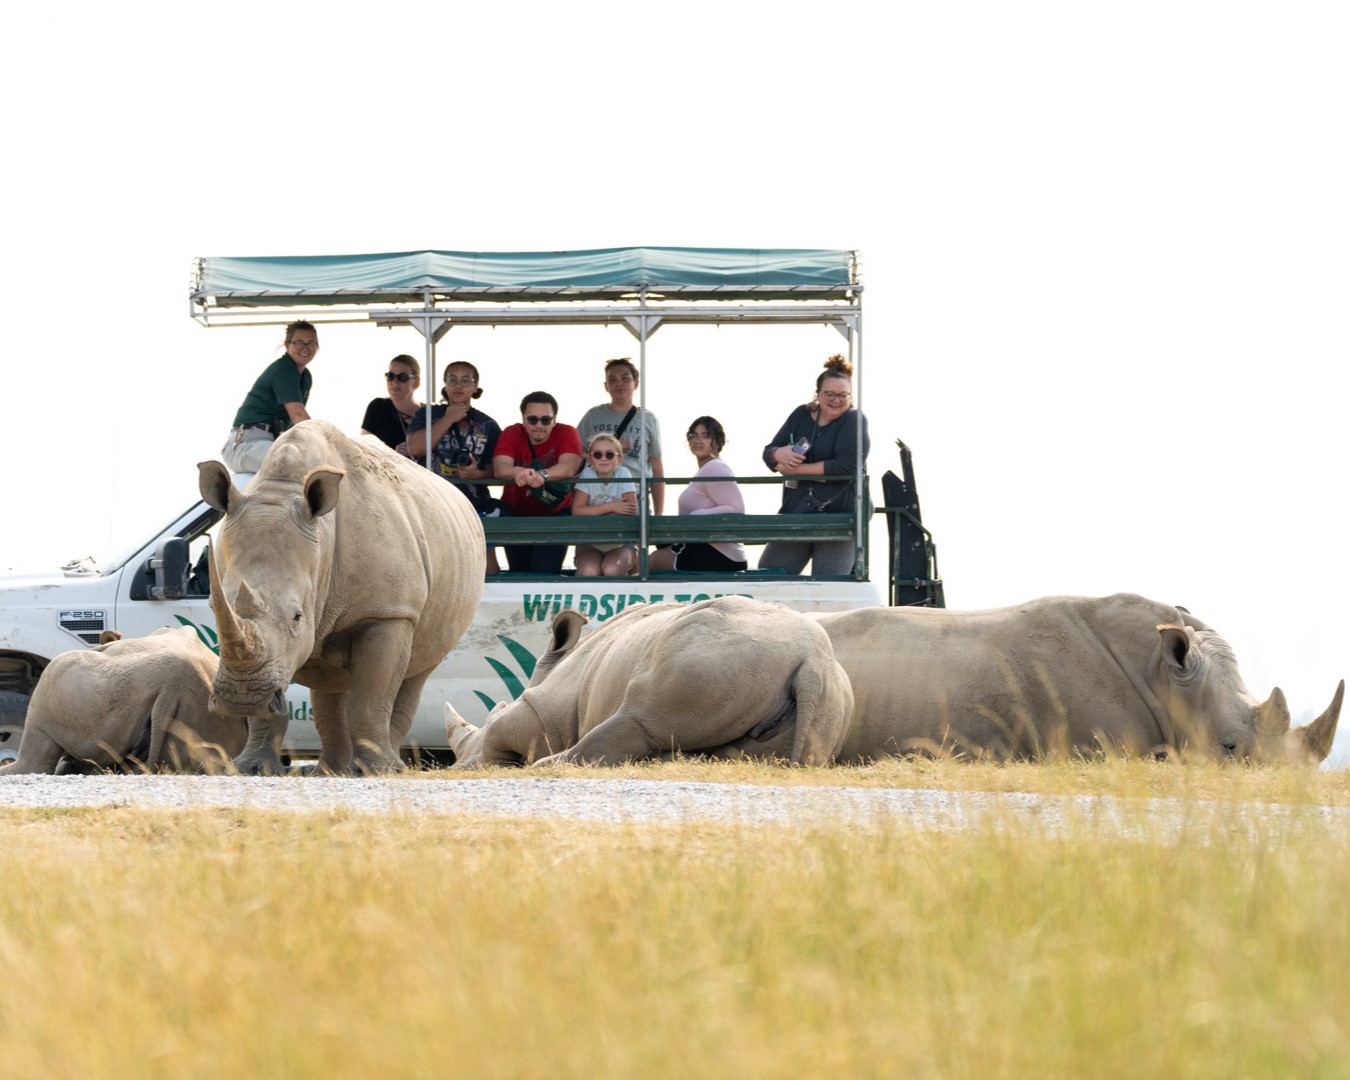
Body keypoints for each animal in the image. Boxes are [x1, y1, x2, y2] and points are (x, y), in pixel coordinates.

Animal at [199, 415, 486, 777]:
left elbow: (371, 696)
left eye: (297, 617)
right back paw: (330, 770)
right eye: (214, 608)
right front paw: (252, 769)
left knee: (417, 671)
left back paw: (383, 766)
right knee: (330, 685)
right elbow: (273, 709)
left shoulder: (387, 612)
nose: (241, 697)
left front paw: (378, 770)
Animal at [450, 599, 853, 766]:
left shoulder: (544, 708)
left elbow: (506, 728)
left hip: (710, 657)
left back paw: (547, 766)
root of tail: (812, 663)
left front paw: (474, 766)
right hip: (830, 696)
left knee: (639, 717)